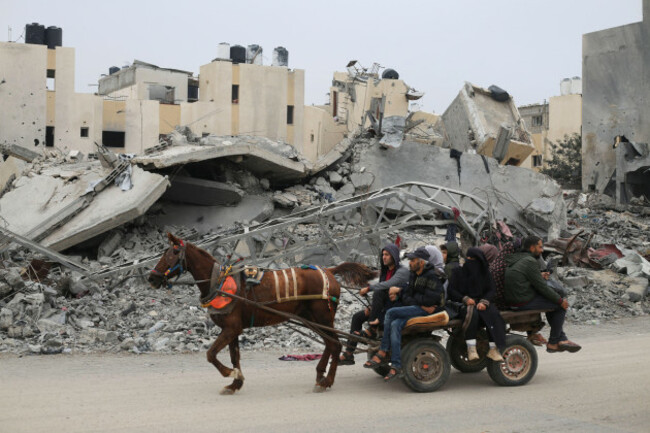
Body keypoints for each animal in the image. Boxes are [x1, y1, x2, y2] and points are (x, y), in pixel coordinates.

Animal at [147, 233, 378, 394]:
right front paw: (235, 383)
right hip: (311, 318)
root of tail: (329, 271)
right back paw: (321, 375)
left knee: (336, 344)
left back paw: (327, 380)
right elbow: (234, 357)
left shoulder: (231, 328)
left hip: (322, 316)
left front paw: (229, 374)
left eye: (173, 253)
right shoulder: (233, 329)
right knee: (330, 344)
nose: (152, 278)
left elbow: (211, 354)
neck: (219, 283)